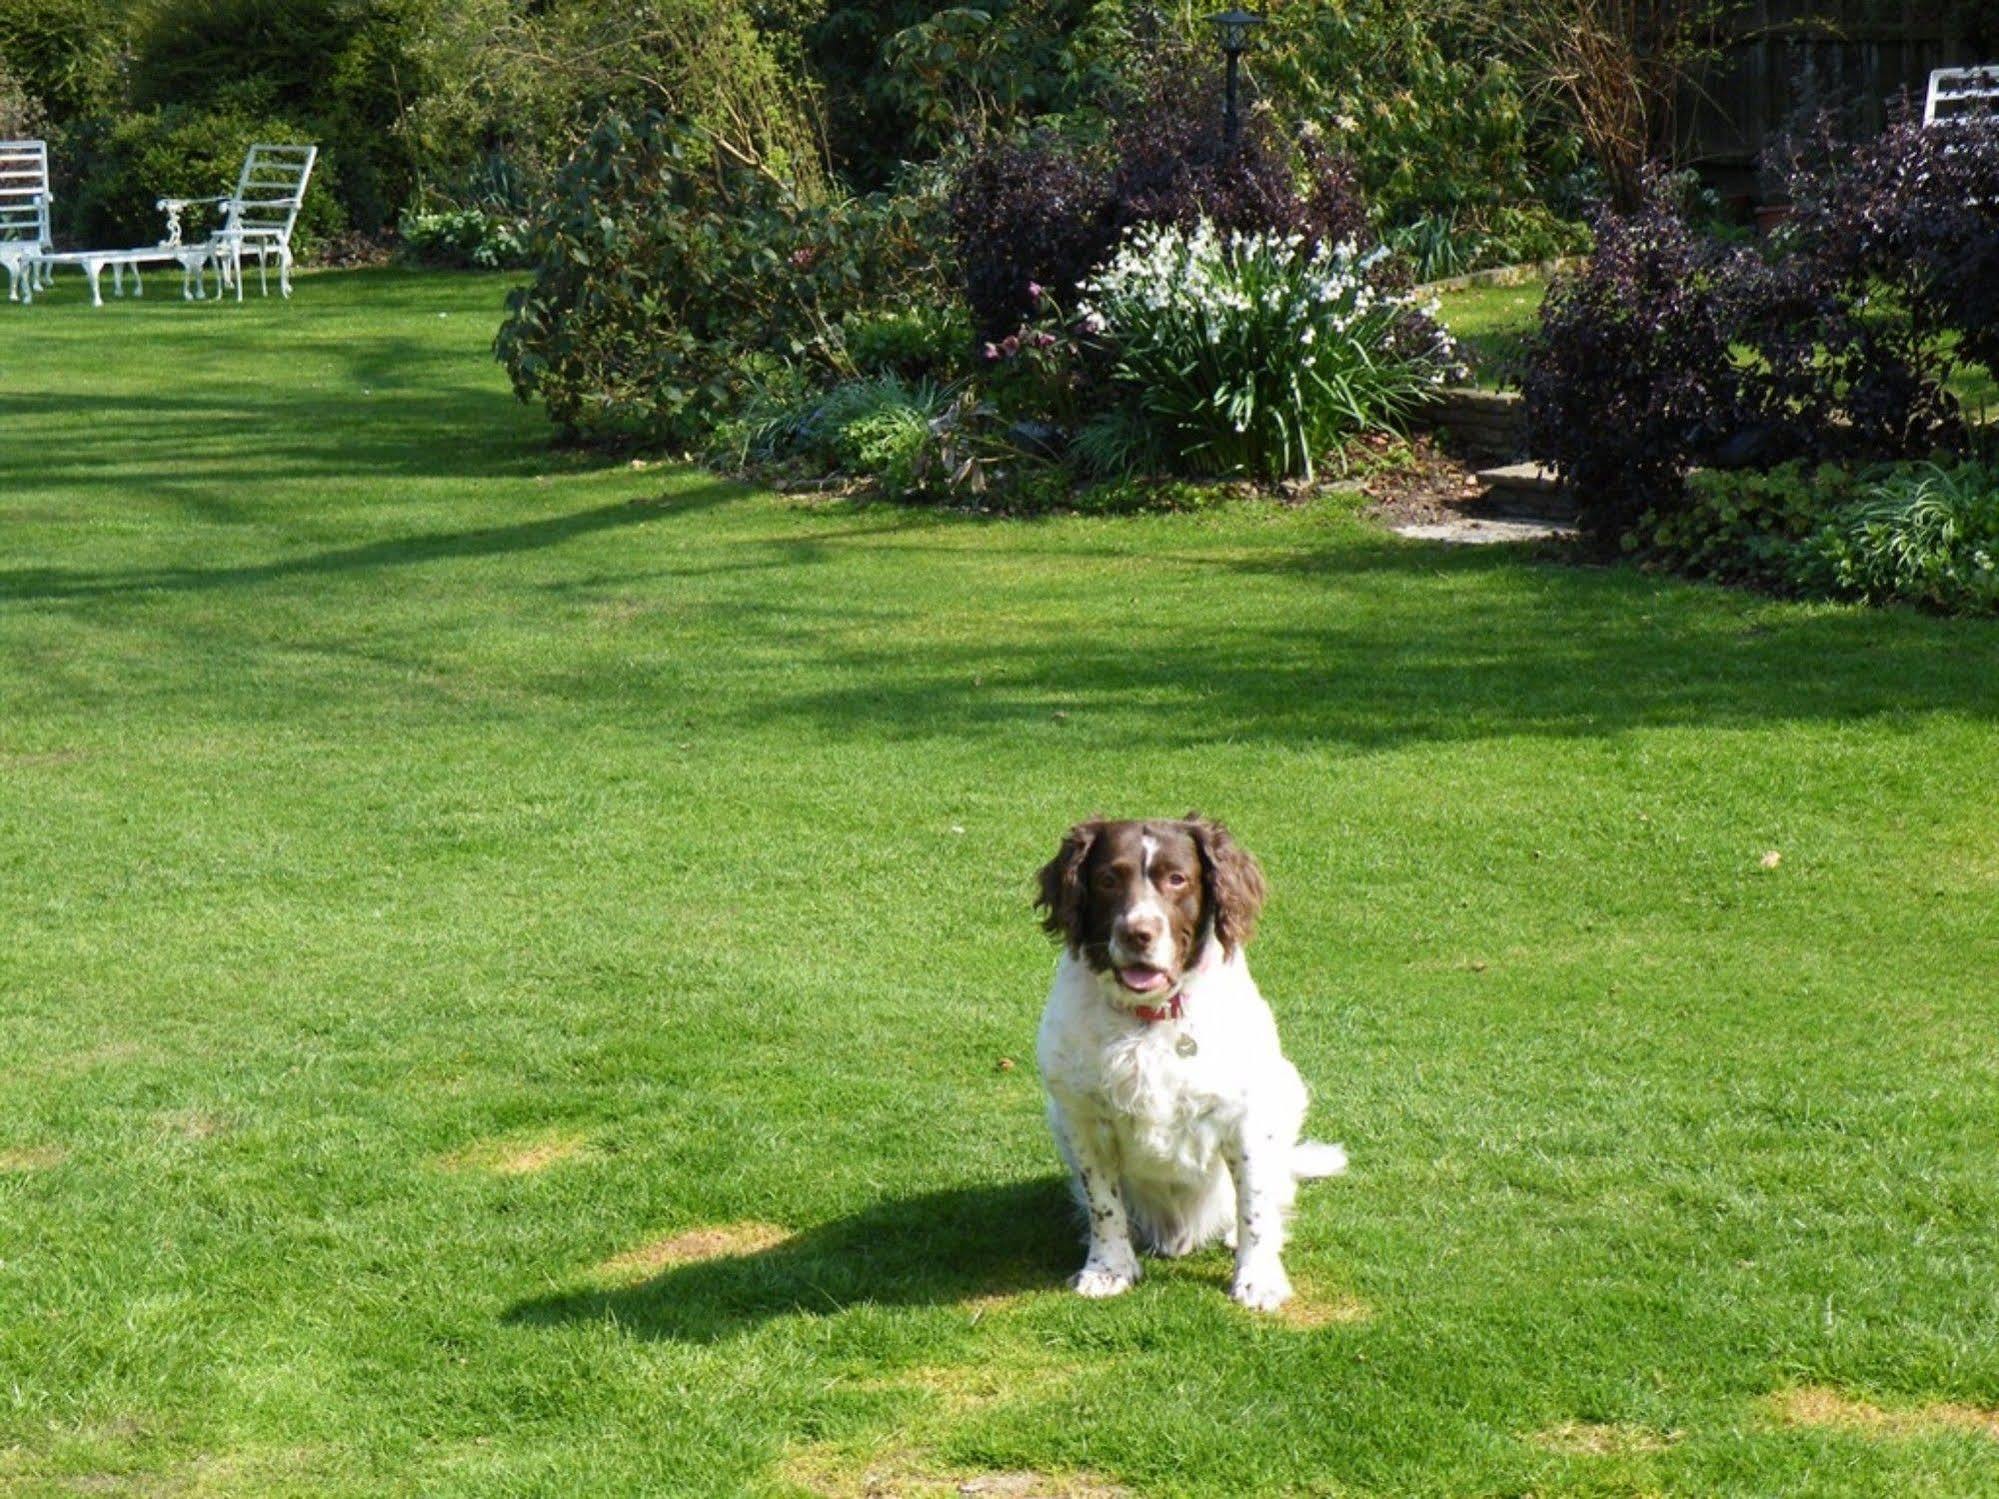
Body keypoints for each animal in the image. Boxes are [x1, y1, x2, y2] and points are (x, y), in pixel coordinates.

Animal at [1031, 815, 1343, 1311]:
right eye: (1107, 879)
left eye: (1177, 879)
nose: (1138, 933)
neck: (1150, 1016)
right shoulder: (1081, 1117)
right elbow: (1103, 1203)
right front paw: (1108, 1270)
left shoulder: (1247, 1114)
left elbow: (1254, 1204)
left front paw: (1257, 1278)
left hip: (1286, 1091)